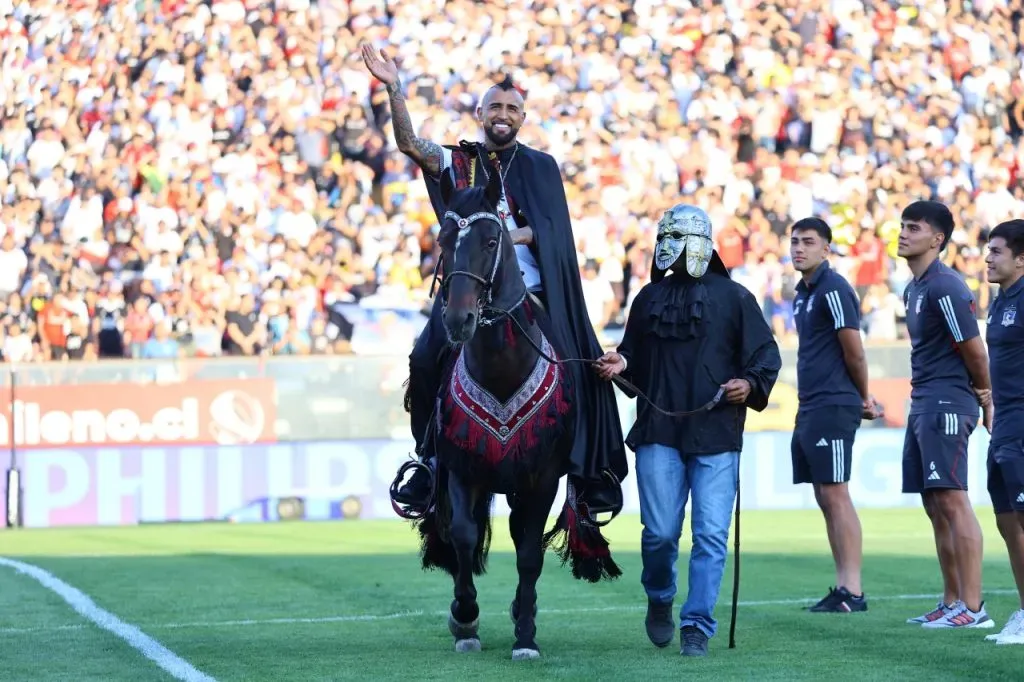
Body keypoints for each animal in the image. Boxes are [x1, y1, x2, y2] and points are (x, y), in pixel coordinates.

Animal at [409, 166, 622, 655]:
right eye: (442, 240)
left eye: (491, 241)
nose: (458, 321)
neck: (501, 368)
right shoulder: (462, 469)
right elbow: (464, 537)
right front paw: (465, 619)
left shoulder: (542, 478)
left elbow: (528, 553)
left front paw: (525, 635)